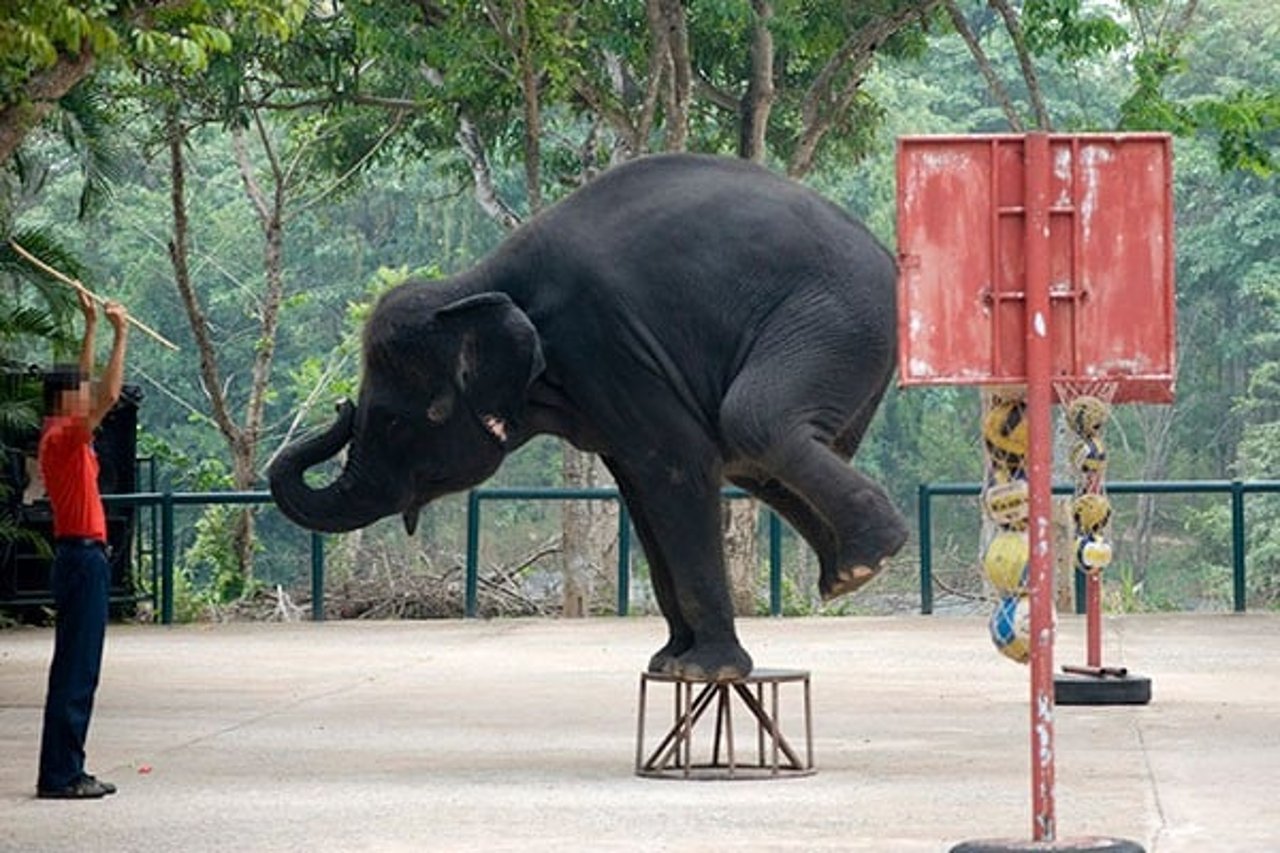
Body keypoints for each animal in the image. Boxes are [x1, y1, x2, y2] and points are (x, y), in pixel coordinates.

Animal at [270, 153, 911, 681]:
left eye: (397, 422)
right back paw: (845, 573)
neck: (477, 284)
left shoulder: (608, 343)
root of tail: (888, 256)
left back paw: (869, 560)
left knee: (751, 422)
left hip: (835, 319)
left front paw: (705, 672)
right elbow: (642, 489)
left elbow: (677, 466)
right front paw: (667, 662)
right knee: (753, 459)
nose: (338, 405)